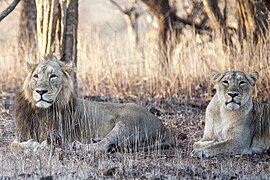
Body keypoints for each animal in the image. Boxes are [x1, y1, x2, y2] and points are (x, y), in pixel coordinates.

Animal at [10, 54, 175, 153]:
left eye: (53, 76)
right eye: (36, 76)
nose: (40, 92)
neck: (41, 112)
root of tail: (164, 127)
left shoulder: (59, 135)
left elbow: (46, 143)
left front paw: (42, 146)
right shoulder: (23, 133)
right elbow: (13, 144)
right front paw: (32, 144)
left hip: (126, 124)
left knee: (104, 145)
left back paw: (78, 145)